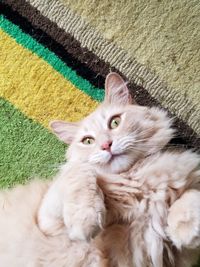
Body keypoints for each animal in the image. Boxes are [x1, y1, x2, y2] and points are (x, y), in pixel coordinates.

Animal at [0, 73, 199, 267]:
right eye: (88, 141)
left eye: (115, 122)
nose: (106, 145)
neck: (133, 180)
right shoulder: (47, 222)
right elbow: (80, 171)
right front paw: (85, 218)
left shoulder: (175, 255)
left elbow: (190, 195)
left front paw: (185, 226)